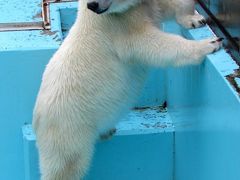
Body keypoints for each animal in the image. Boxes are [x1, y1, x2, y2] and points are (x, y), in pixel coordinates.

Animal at [32, 0, 222, 179]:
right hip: (68, 129)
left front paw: (195, 19)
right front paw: (209, 43)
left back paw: (107, 131)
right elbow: (152, 45)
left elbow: (165, 7)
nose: (92, 5)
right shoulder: (119, 27)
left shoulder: (139, 9)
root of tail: (37, 119)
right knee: (67, 166)